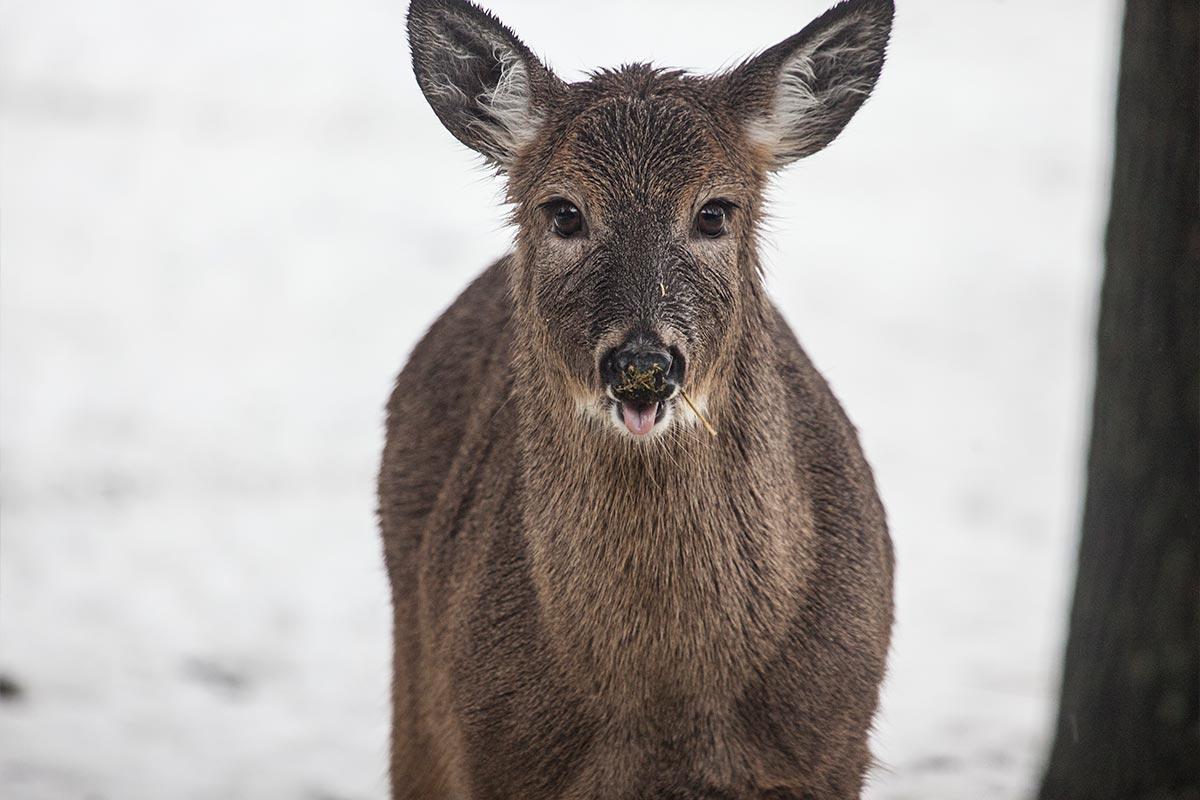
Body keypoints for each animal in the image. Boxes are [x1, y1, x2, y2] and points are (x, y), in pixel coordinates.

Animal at [379, 1, 897, 796]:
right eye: (564, 212)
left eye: (715, 211)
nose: (643, 364)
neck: (668, 696)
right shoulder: (494, 753)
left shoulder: (831, 753)